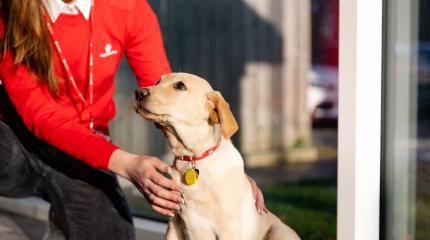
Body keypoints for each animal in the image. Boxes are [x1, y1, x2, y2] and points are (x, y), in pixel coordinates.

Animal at [134, 73, 298, 240]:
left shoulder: (228, 229)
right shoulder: (174, 223)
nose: (139, 92)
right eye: (157, 82)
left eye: (180, 86)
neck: (193, 158)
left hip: (279, 231)